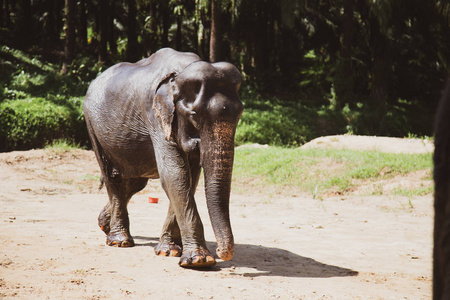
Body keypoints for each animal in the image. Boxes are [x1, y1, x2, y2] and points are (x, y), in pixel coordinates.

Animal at [82, 48, 244, 268]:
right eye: (194, 114)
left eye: (240, 114)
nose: (221, 251)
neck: (179, 74)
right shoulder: (155, 116)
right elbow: (175, 175)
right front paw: (199, 261)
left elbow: (188, 178)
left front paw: (169, 251)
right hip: (92, 125)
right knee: (113, 177)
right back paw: (119, 241)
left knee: (134, 183)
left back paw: (104, 225)